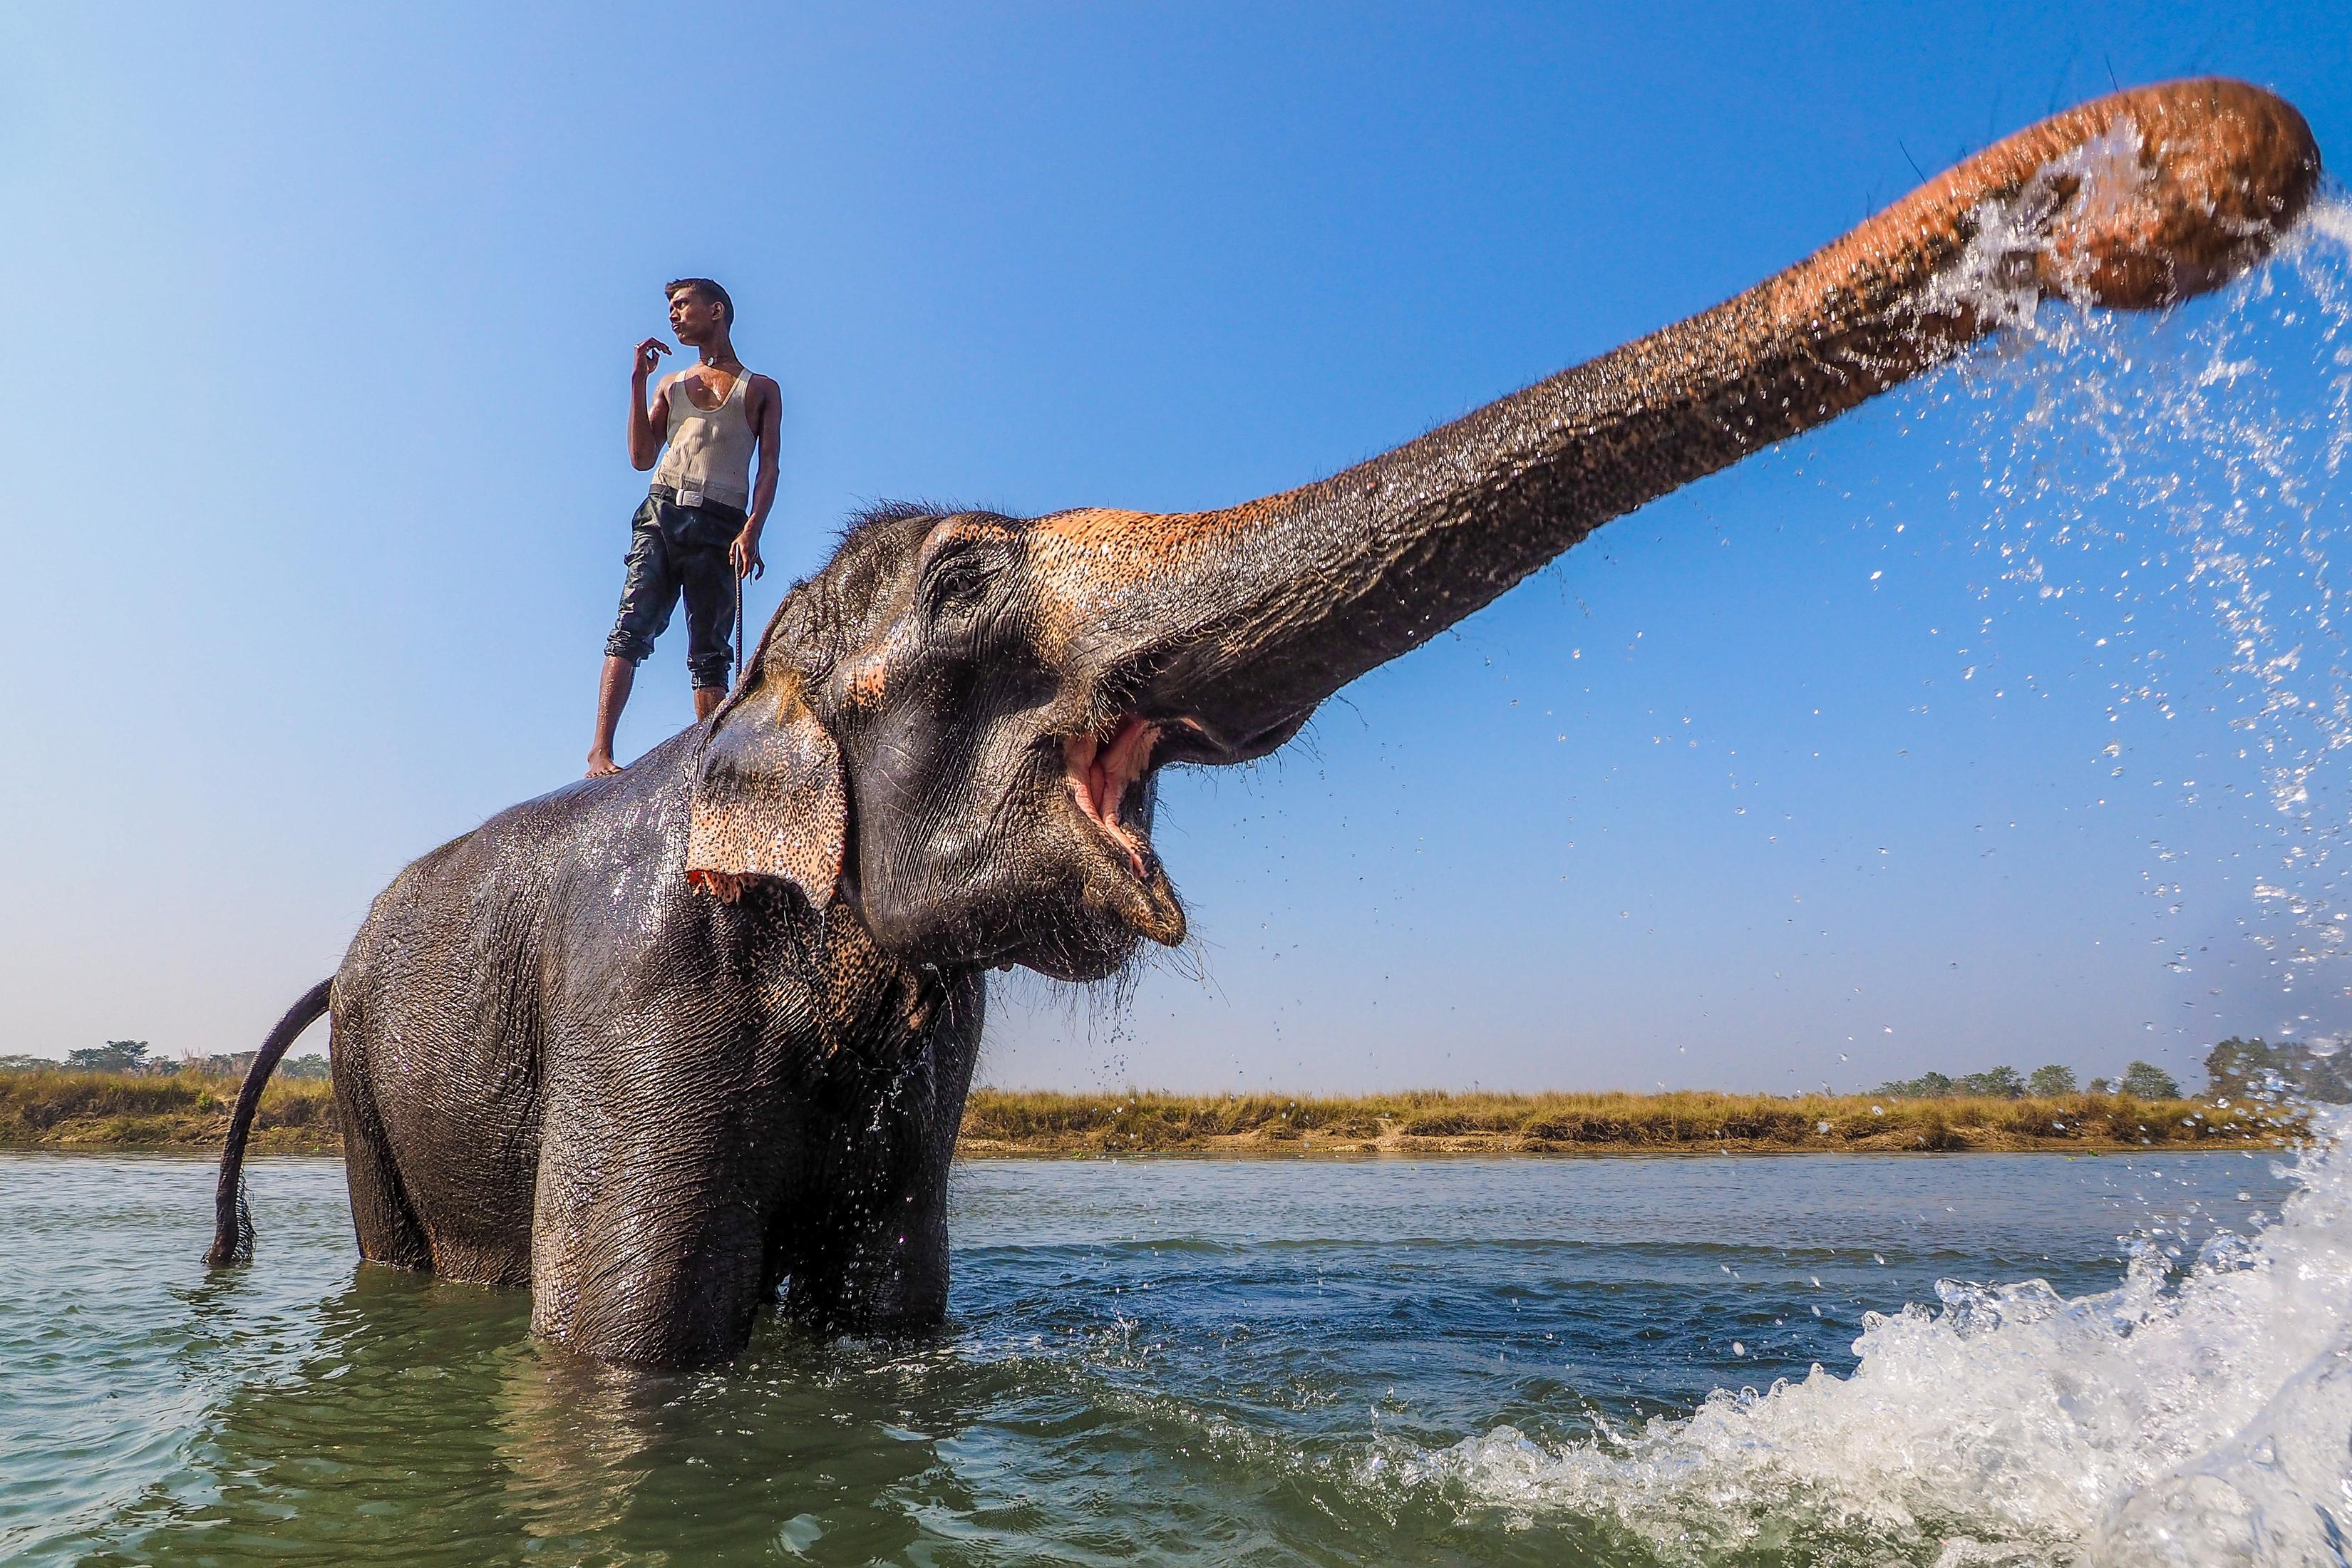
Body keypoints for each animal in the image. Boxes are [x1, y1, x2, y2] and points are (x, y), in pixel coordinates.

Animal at [209, 80, 2318, 1367]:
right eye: (966, 595)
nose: (2192, 170)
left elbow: (891, 1322)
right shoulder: (650, 994)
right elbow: (622, 1357)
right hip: (374, 1094)